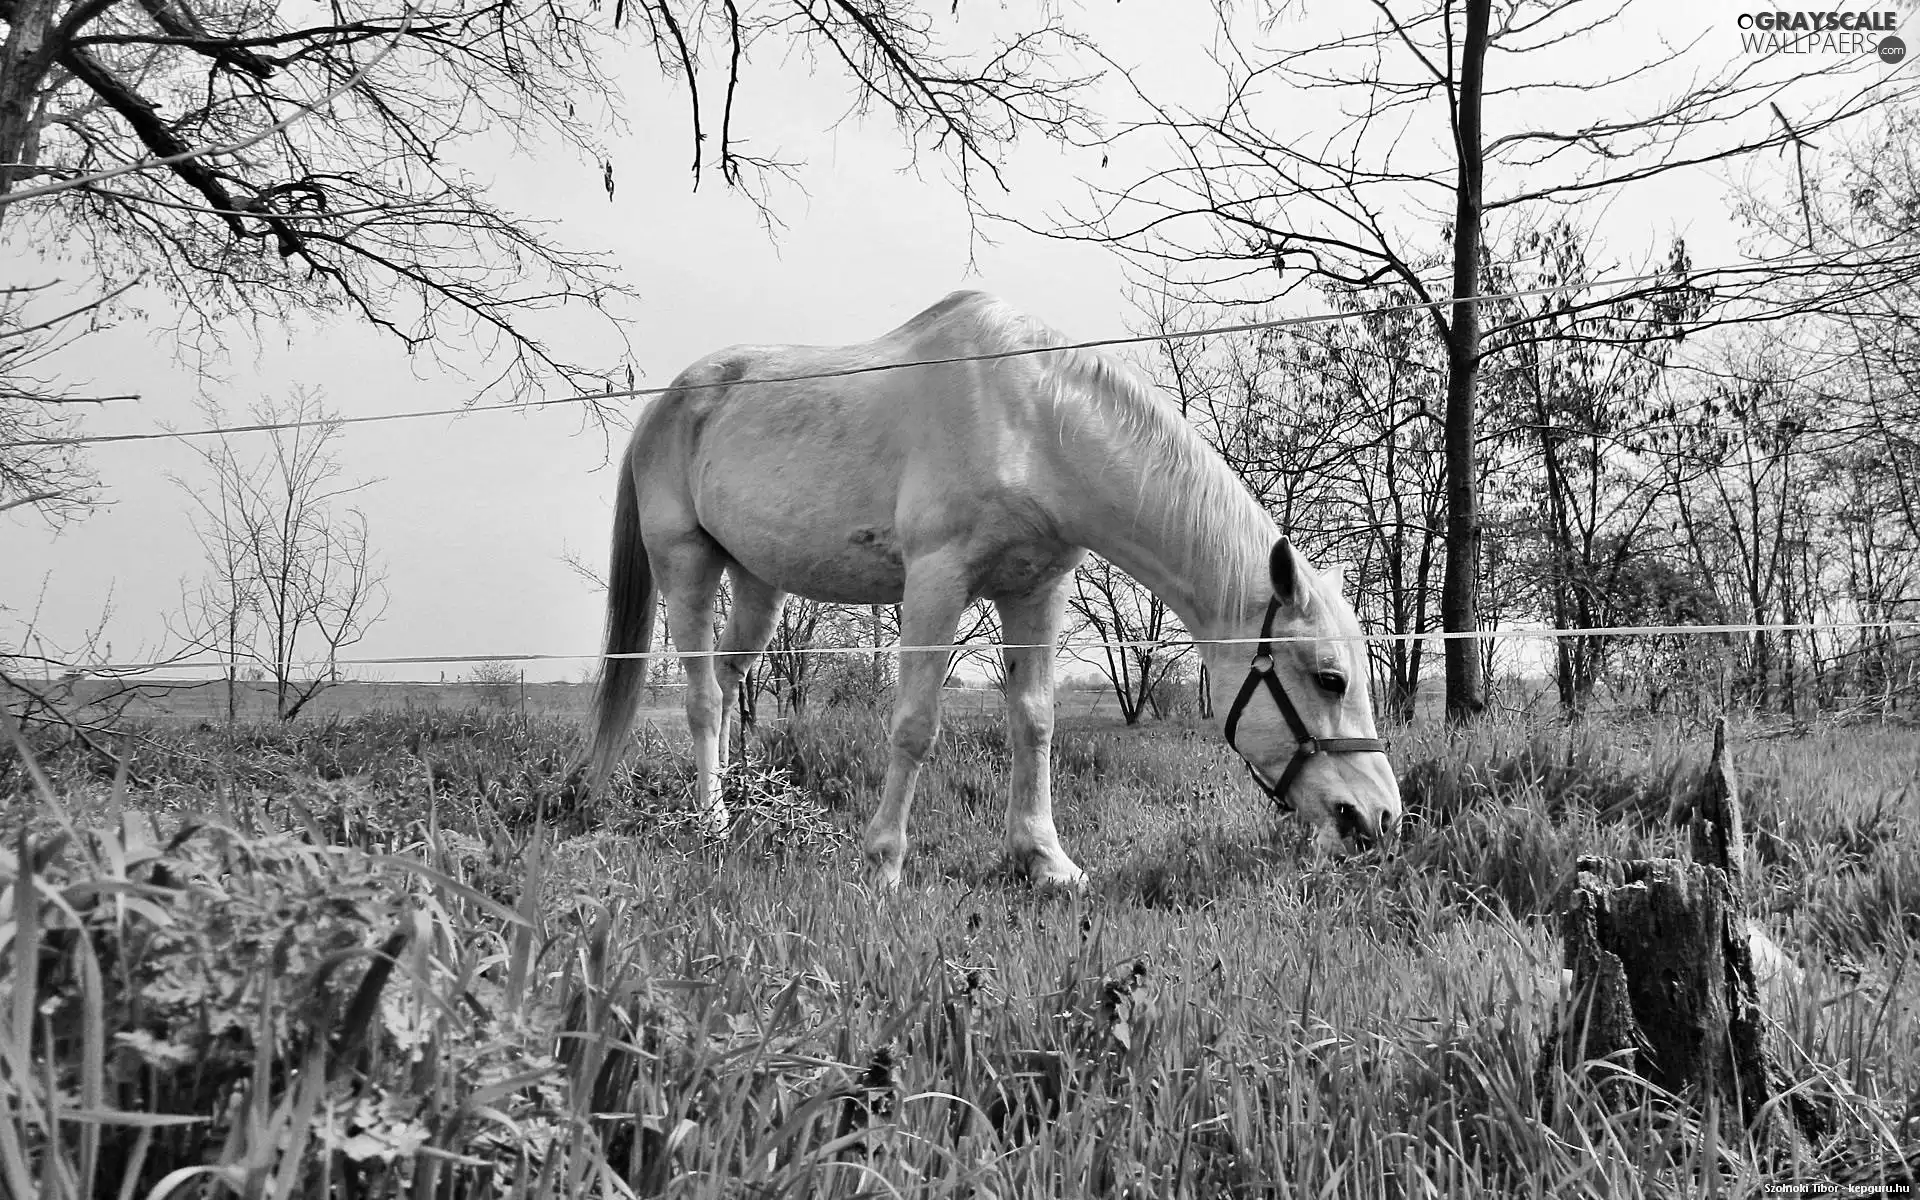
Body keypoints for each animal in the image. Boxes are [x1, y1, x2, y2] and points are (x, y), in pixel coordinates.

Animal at [576, 293, 1405, 883]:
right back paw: (713, 823)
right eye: (1329, 679)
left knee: (725, 682)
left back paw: (740, 806)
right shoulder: (937, 582)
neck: (1034, 420)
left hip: (757, 585)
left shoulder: (1035, 591)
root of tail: (667, 402)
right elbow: (915, 725)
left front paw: (1044, 861)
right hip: (687, 564)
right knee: (701, 697)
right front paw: (882, 861)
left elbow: (1034, 723)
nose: (1380, 817)